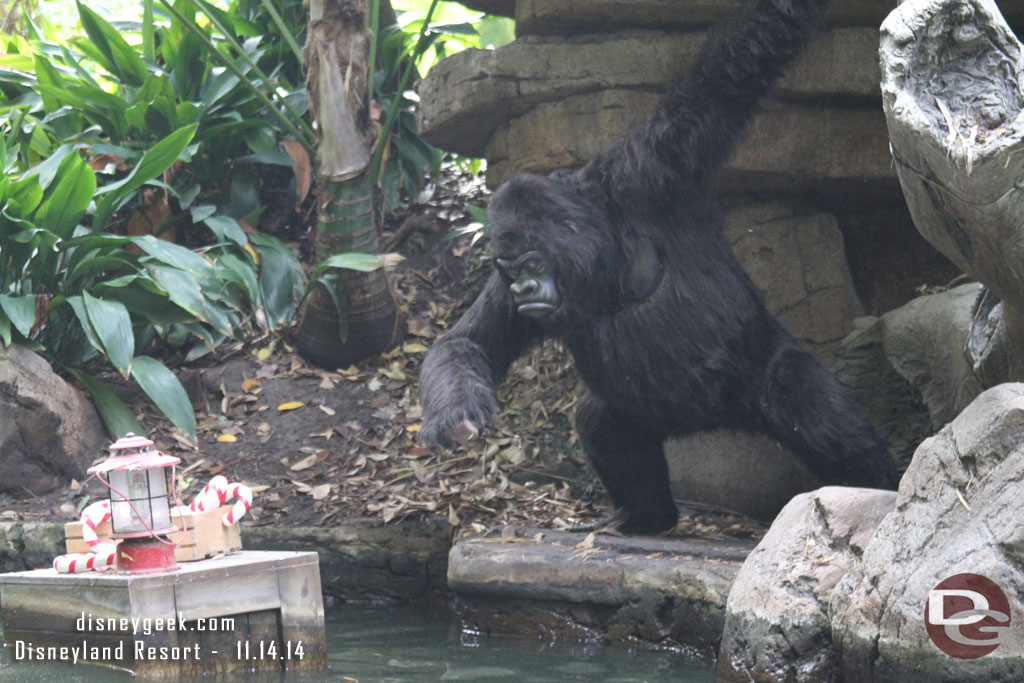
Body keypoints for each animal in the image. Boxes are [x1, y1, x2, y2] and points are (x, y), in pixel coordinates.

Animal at [415, 0, 897, 532]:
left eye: (532, 262)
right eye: (510, 268)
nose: (524, 289)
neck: (602, 246)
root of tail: (715, 421)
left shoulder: (653, 166)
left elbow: (735, 65)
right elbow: (468, 343)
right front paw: (455, 416)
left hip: (761, 373)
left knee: (815, 413)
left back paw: (878, 489)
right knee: (604, 423)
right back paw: (647, 515)